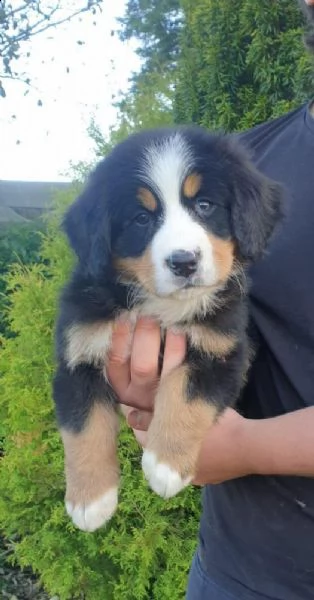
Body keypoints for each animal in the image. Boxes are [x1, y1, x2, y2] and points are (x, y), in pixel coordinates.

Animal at [52, 125, 284, 528]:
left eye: (204, 205)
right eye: (141, 219)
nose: (184, 261)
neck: (159, 304)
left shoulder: (224, 351)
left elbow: (186, 391)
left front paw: (166, 465)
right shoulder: (77, 355)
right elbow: (83, 426)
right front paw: (89, 501)